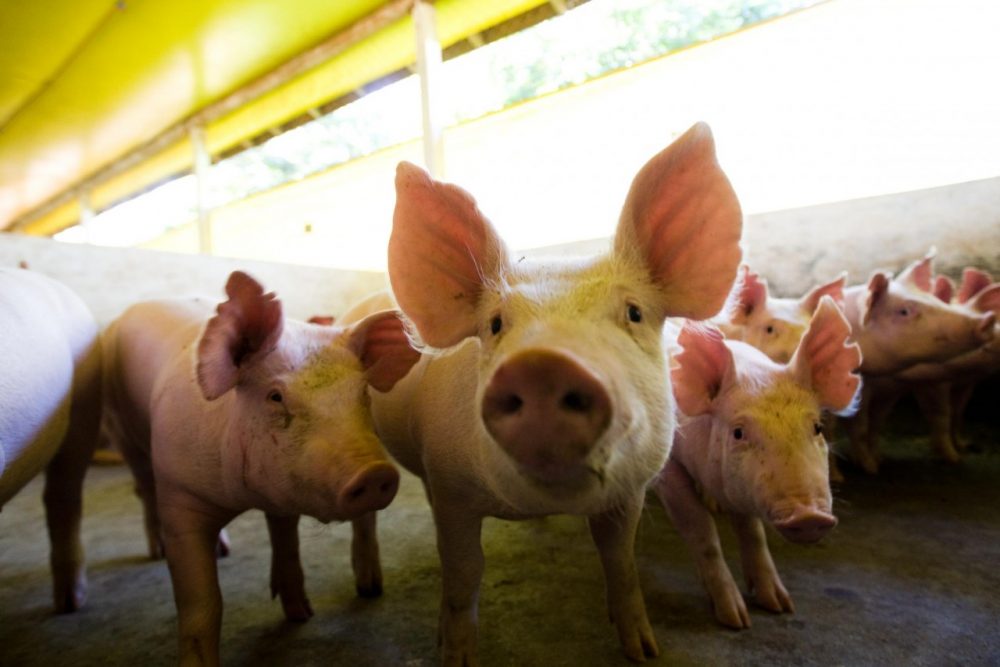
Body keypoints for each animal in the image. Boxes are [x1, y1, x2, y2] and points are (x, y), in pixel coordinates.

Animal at [101, 271, 419, 666]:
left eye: (363, 394)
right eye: (275, 396)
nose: (375, 473)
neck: (243, 496)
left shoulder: (282, 492)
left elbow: (287, 541)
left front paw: (302, 615)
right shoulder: (179, 495)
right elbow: (202, 603)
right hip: (121, 428)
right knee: (143, 487)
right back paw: (158, 551)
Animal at [370, 122, 743, 663]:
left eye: (634, 312)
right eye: (495, 324)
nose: (542, 365)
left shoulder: (629, 492)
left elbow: (620, 562)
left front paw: (644, 651)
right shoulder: (452, 484)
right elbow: (464, 571)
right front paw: (455, 656)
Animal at [653, 296, 861, 628]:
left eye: (817, 427)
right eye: (739, 433)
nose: (809, 516)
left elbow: (752, 531)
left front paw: (780, 606)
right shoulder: (669, 469)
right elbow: (701, 529)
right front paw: (736, 620)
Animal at [839, 252, 995, 473]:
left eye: (935, 300)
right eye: (904, 312)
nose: (988, 319)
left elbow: (871, 423)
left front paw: (876, 463)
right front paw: (871, 469)